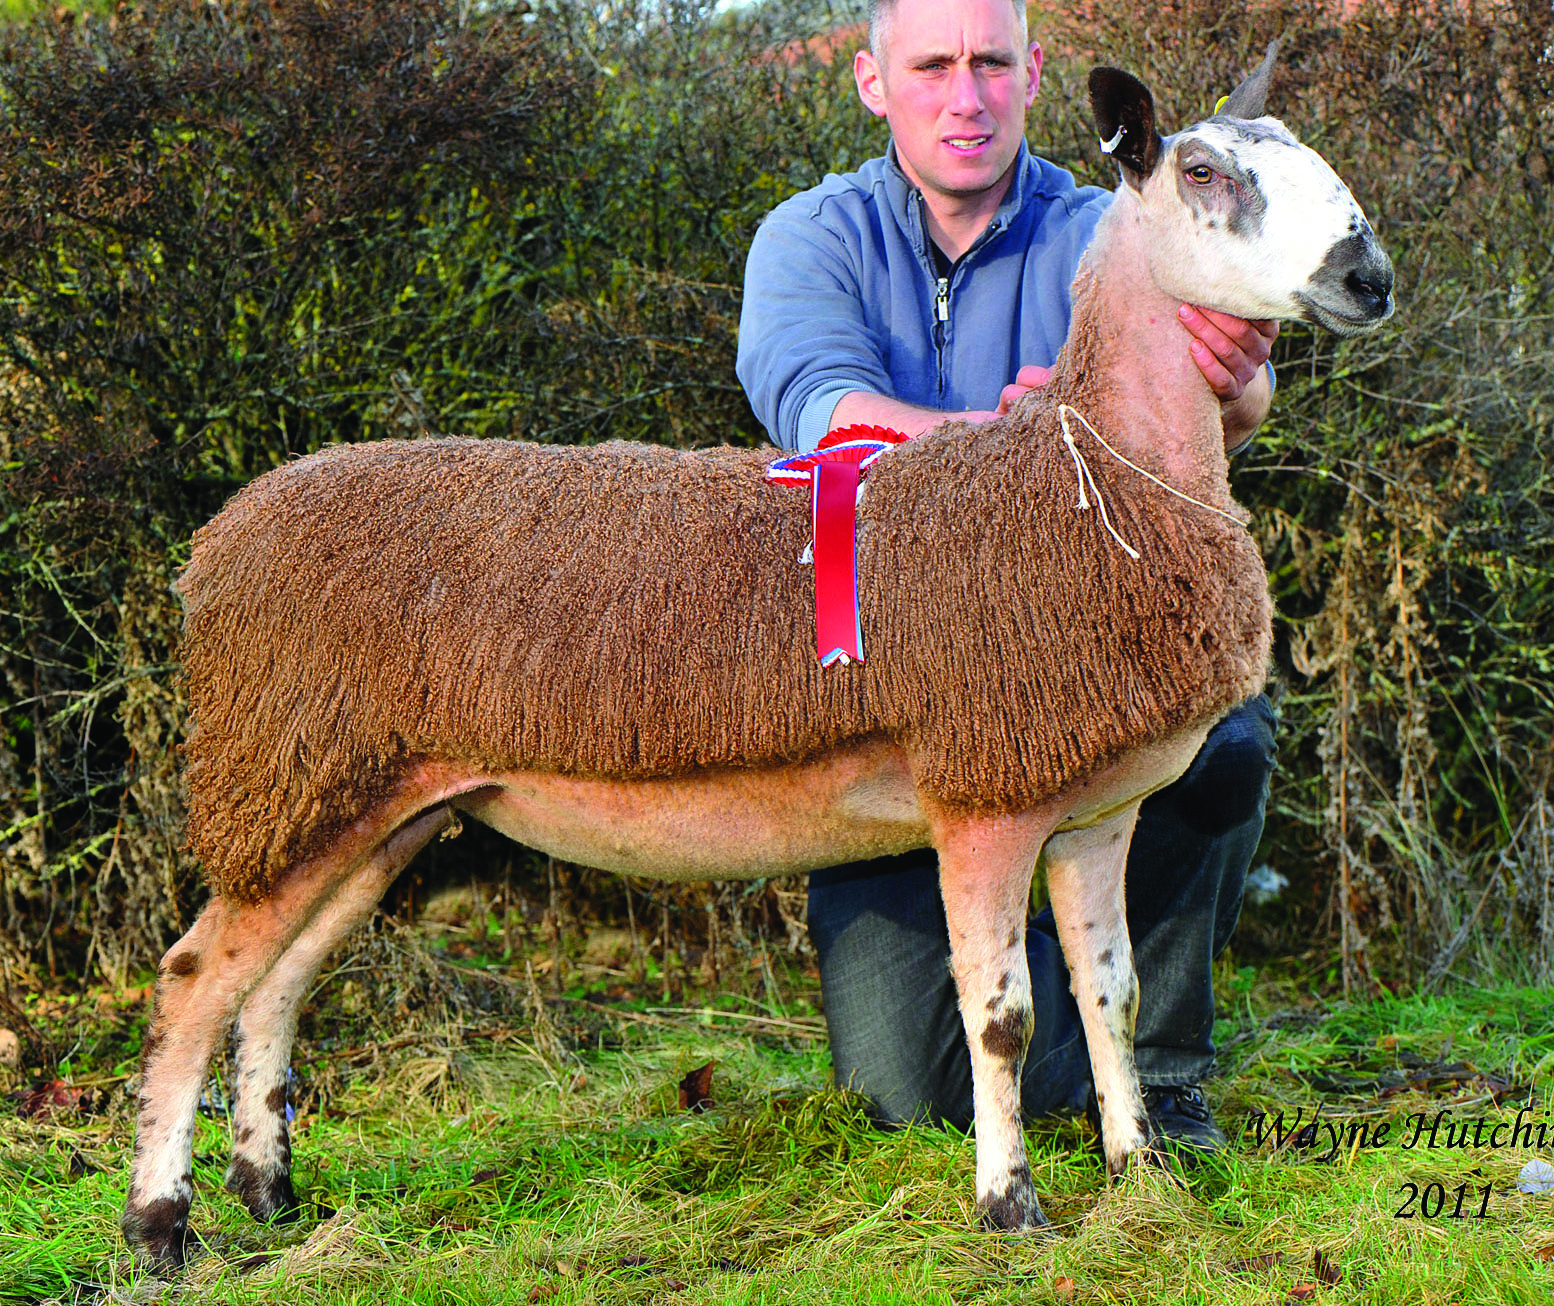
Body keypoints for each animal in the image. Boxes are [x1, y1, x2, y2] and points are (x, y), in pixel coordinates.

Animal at [121, 50, 1398, 1262]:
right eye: (1205, 173)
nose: (1368, 276)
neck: (1100, 478)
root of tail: (216, 544)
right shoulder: (983, 797)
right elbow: (1004, 1018)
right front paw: (1012, 1206)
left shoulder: (1095, 807)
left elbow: (1110, 994)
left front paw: (1140, 1172)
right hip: (288, 768)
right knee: (193, 979)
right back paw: (160, 1224)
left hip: (375, 802)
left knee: (277, 984)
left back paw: (270, 1192)